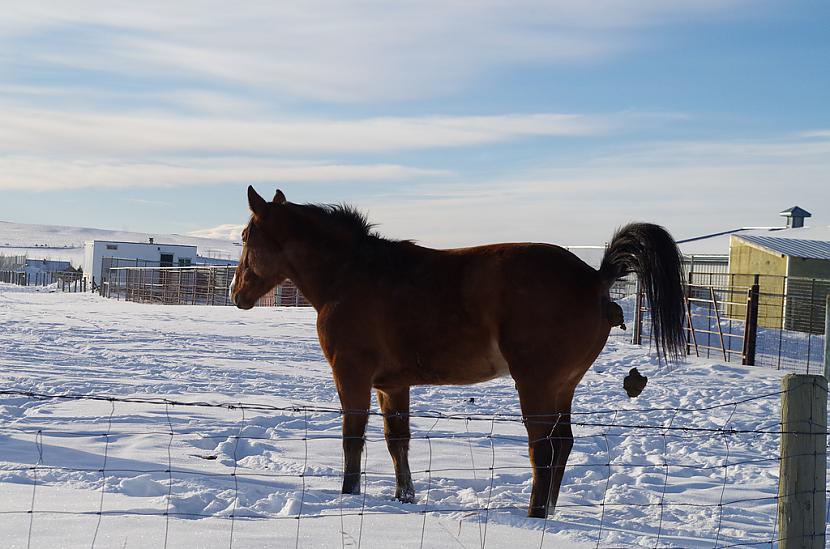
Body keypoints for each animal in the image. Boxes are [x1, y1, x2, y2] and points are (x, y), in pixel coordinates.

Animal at [231, 186, 684, 516]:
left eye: (246, 237)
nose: (236, 293)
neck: (350, 275)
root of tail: (595, 277)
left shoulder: (351, 376)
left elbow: (352, 439)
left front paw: (348, 493)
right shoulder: (392, 386)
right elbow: (397, 441)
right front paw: (405, 497)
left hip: (536, 386)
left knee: (544, 449)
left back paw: (535, 514)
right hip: (563, 387)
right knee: (563, 444)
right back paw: (549, 510)